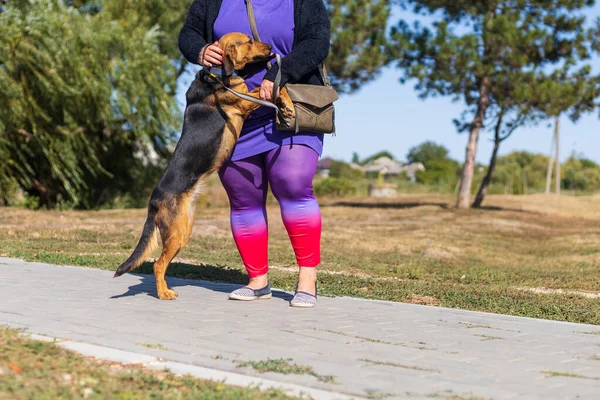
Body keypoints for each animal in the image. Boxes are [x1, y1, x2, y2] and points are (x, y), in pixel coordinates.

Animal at [113, 32, 296, 300]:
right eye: (249, 41)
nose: (271, 47)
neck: (218, 74)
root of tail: (153, 201)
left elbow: (273, 89)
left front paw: (287, 105)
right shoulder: (243, 104)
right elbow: (270, 91)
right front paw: (284, 103)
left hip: (184, 230)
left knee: (161, 262)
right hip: (177, 233)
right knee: (158, 264)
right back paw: (164, 293)